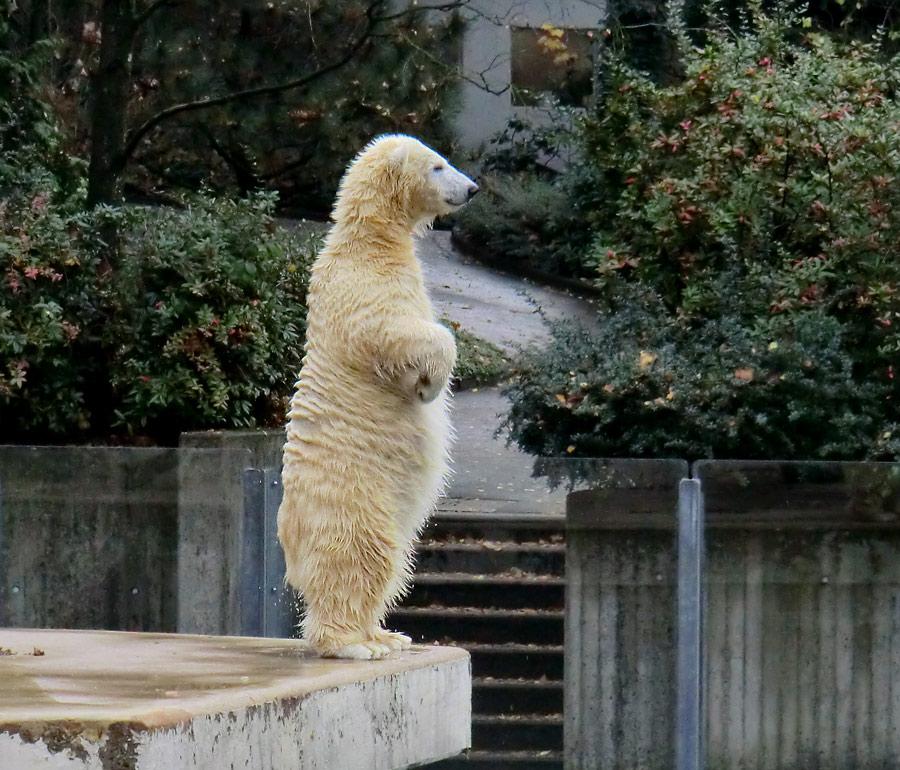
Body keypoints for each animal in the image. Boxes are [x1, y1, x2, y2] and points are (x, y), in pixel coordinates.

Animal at [278, 135, 478, 656]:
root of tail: (290, 532)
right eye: (438, 165)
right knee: (360, 553)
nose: (472, 189)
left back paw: (388, 634)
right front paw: (429, 384)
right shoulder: (360, 287)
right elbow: (399, 332)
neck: (370, 241)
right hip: (353, 495)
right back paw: (353, 643)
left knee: (395, 556)